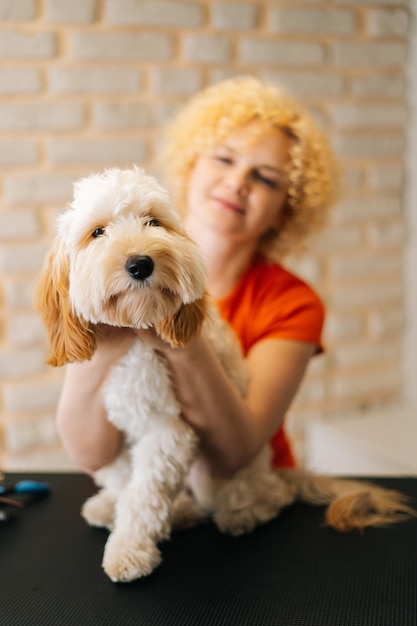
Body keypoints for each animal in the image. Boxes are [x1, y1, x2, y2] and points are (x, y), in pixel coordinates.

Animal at [35, 165, 412, 580]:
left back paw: (239, 514)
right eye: (97, 232)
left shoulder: (168, 431)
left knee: (264, 498)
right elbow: (123, 482)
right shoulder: (112, 432)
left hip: (218, 469)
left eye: (153, 222)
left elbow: (143, 497)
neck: (134, 334)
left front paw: (128, 551)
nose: (140, 263)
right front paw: (120, 516)